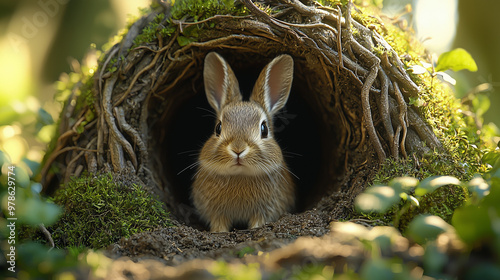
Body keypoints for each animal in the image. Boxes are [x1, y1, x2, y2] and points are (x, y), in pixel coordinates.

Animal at [189, 52, 294, 232]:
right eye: (218, 128)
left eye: (264, 129)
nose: (238, 149)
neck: (240, 175)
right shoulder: (216, 213)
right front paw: (219, 232)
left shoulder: (264, 211)